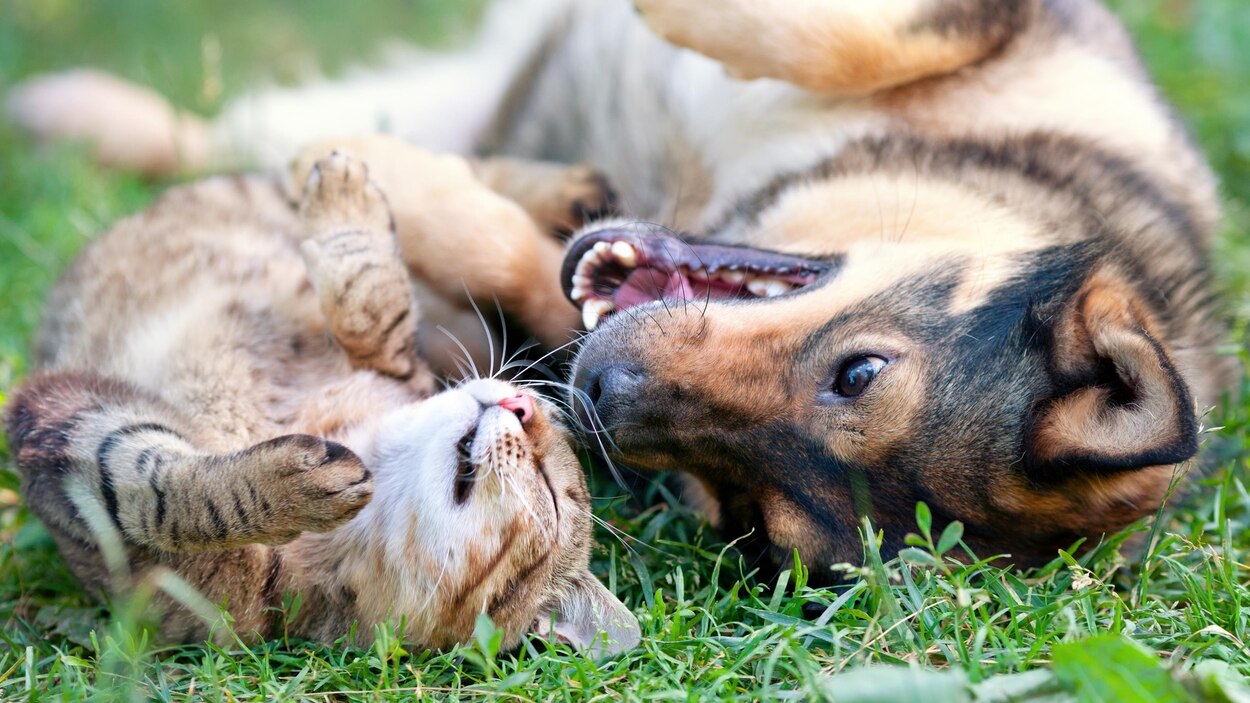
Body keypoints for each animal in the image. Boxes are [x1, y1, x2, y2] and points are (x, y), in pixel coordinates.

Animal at [7, 0, 1240, 580]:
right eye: (859, 370)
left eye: (751, 512)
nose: (597, 396)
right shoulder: (1005, 24)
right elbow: (850, 33)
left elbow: (511, 259)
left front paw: (403, 185)